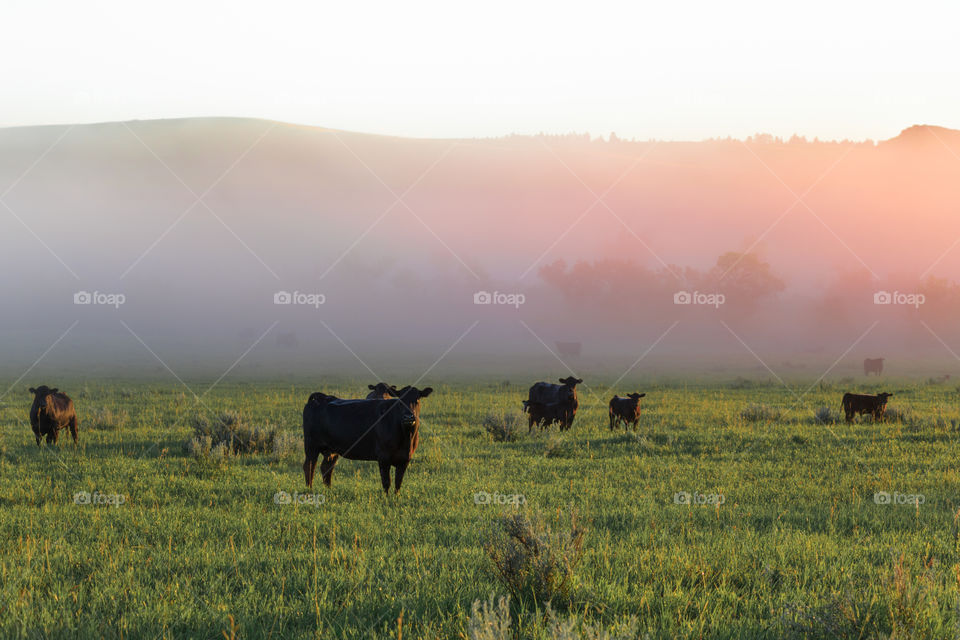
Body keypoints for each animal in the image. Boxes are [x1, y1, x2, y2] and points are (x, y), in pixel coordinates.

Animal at [302, 384, 434, 496]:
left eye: (417, 400)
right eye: (400, 401)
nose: (408, 417)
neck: (406, 437)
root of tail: (322, 397)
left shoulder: (405, 459)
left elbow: (398, 482)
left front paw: (396, 498)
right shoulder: (383, 457)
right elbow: (386, 481)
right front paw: (386, 499)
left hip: (331, 450)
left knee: (326, 468)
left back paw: (329, 490)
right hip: (311, 446)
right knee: (309, 466)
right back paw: (310, 490)